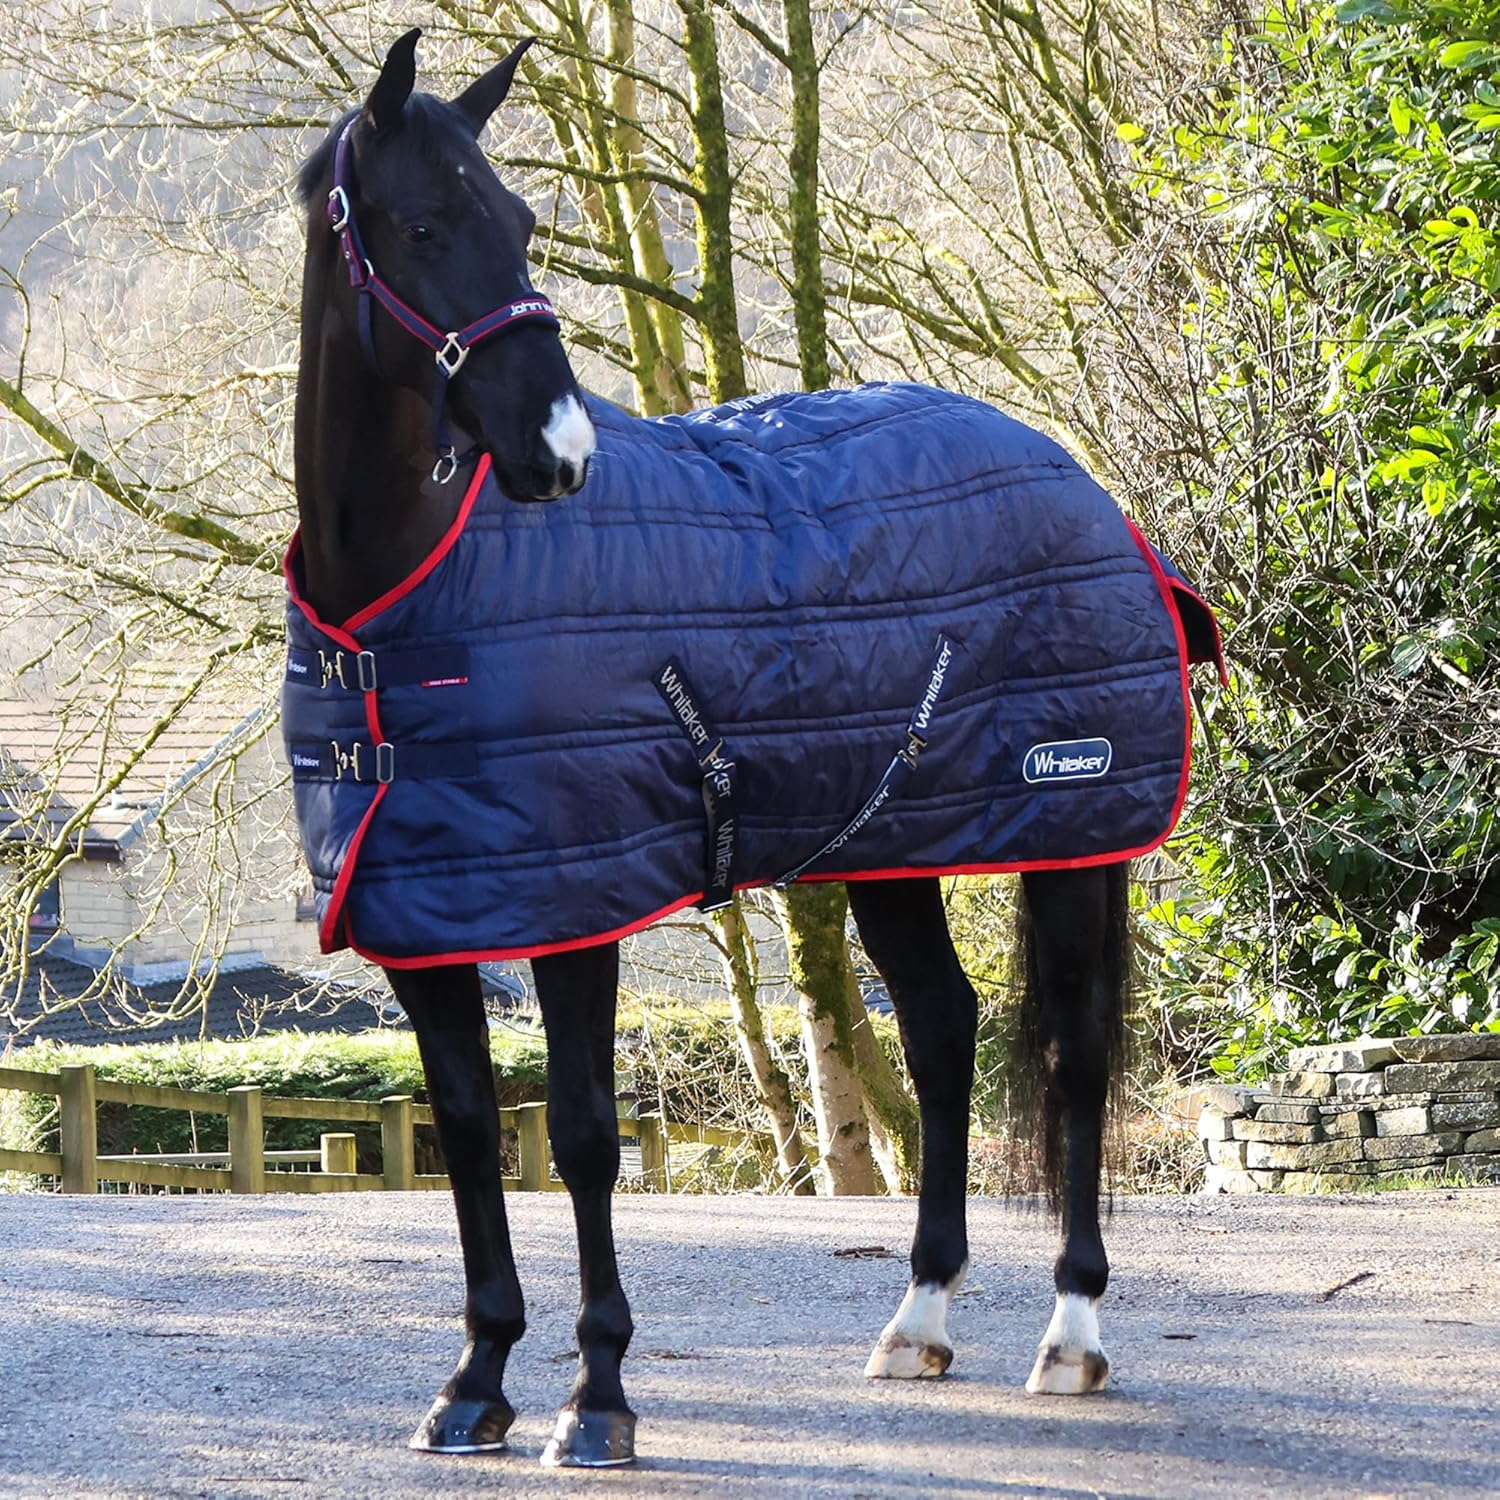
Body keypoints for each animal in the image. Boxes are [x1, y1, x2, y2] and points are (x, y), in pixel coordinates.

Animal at [286, 30, 1221, 1469]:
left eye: (522, 222)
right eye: (425, 224)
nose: (560, 453)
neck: (399, 598)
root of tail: (1090, 494)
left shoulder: (578, 905)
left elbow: (584, 1137)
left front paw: (598, 1400)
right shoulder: (425, 914)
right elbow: (467, 1132)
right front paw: (476, 1380)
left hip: (1077, 841)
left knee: (1073, 1062)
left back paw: (1071, 1336)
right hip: (890, 851)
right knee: (941, 1031)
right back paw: (919, 1318)